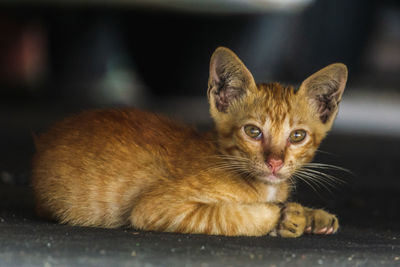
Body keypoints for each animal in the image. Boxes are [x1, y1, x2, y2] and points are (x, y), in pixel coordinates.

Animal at [32, 46, 346, 239]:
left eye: (297, 136)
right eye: (253, 132)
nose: (275, 162)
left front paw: (314, 216)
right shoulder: (155, 208)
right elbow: (226, 215)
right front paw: (284, 217)